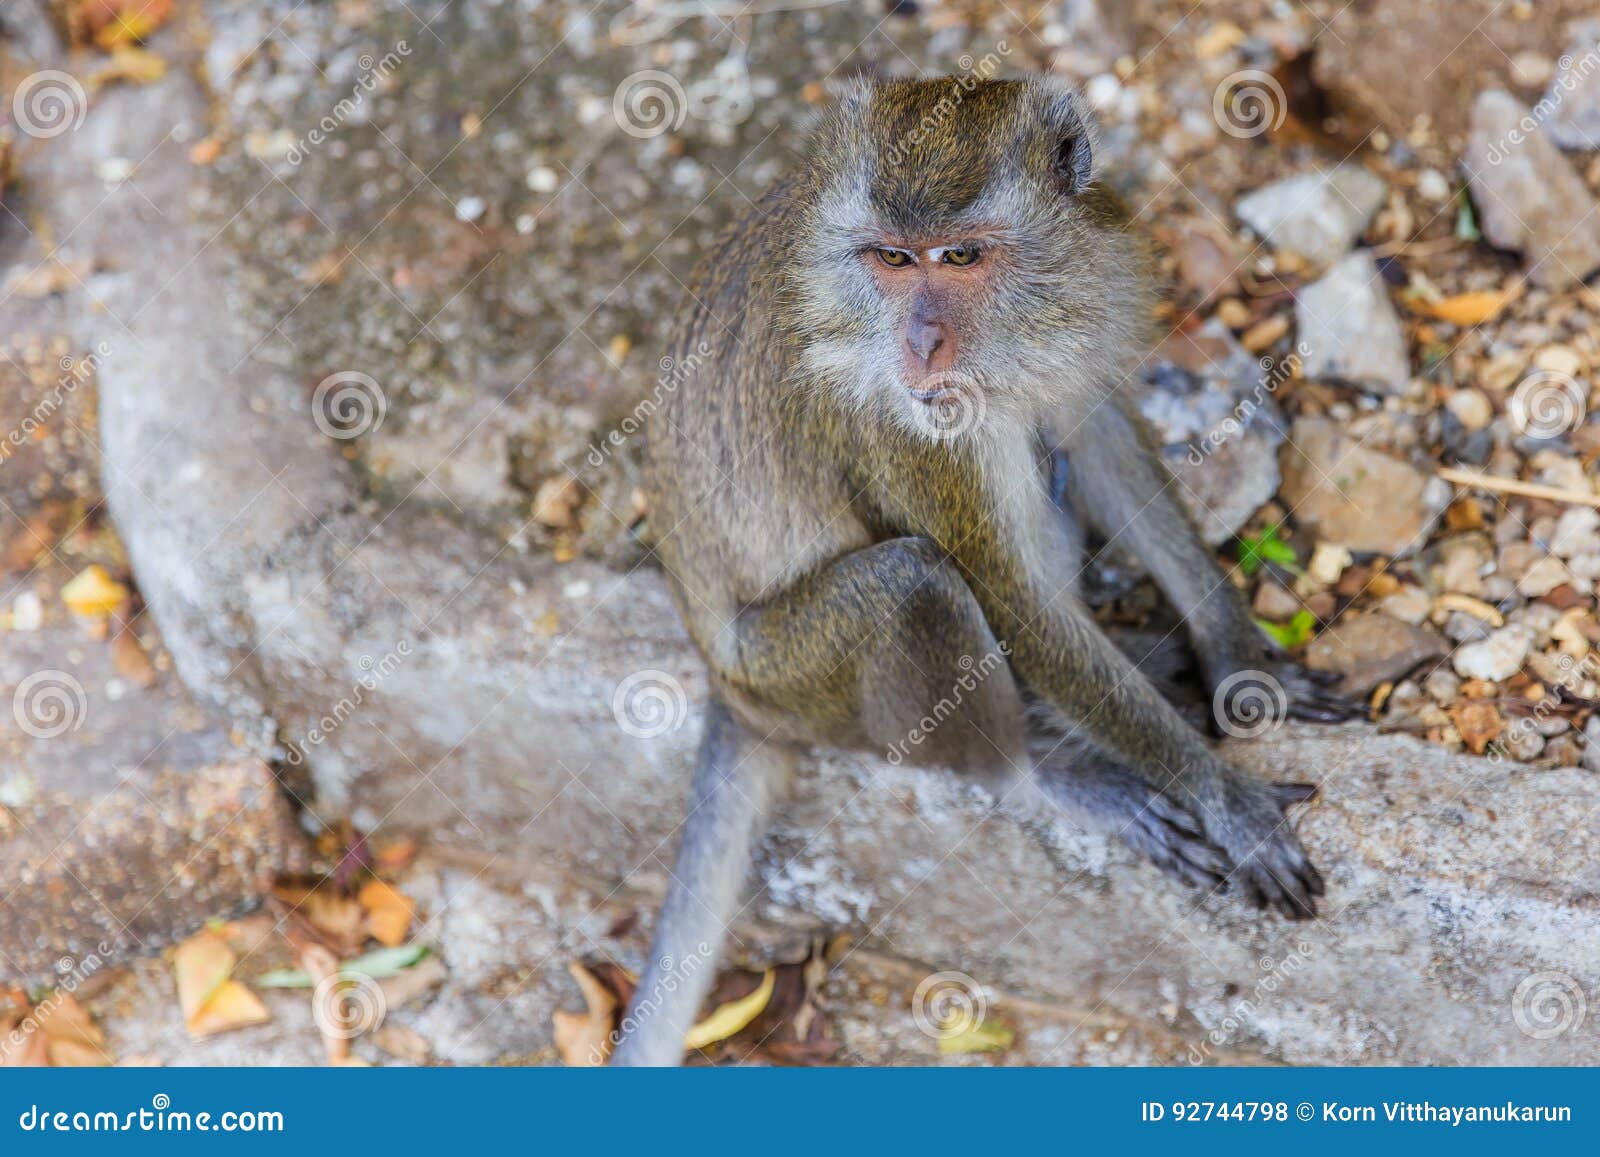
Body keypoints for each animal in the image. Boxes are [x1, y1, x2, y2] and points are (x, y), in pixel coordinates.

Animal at [610, 75, 1356, 1067]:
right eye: (892, 259)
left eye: (959, 256)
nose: (922, 344)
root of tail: (724, 684)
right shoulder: (904, 425)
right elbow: (1009, 597)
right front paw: (1222, 796)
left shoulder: (1100, 262)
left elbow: (1098, 429)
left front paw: (1238, 661)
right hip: (797, 679)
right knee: (914, 581)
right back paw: (1041, 770)